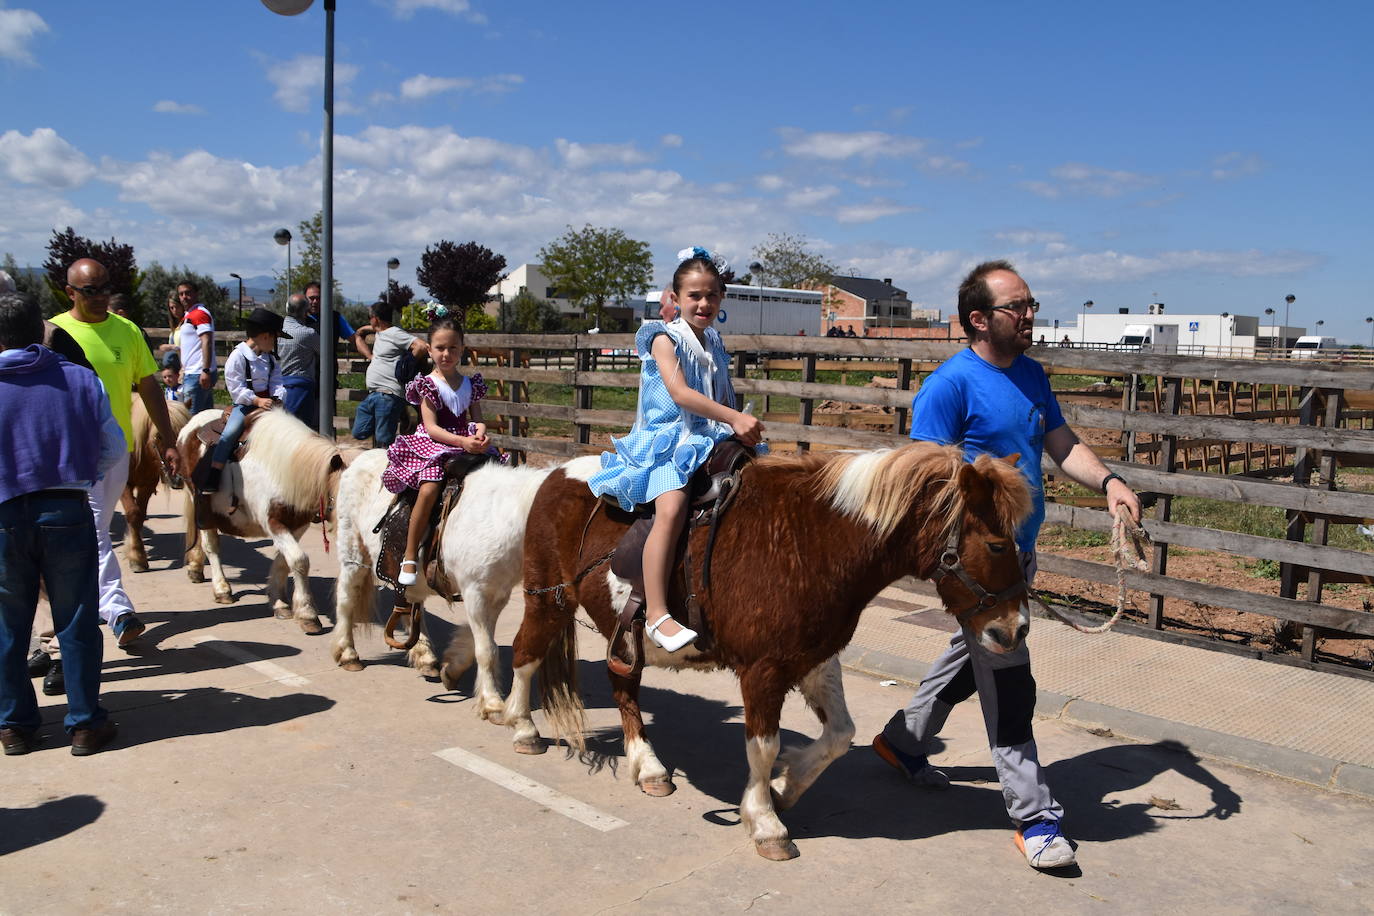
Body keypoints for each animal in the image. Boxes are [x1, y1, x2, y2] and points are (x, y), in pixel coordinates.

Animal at [120, 395, 189, 568]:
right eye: (159, 436)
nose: (178, 477)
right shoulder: (123, 486)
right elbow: (133, 513)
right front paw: (136, 555)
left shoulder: (147, 485)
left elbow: (140, 516)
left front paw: (135, 551)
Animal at [177, 411, 343, 634]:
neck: (286, 469)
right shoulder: (273, 522)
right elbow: (299, 560)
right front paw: (308, 615)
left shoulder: (297, 525)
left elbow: (284, 560)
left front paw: (280, 602)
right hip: (200, 505)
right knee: (210, 545)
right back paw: (222, 589)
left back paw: (195, 569)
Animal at [331, 450, 552, 714]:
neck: (498, 515)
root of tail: (361, 458)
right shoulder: (476, 591)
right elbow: (486, 649)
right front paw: (491, 703)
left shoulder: (496, 593)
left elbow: (479, 643)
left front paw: (452, 670)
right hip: (353, 552)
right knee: (346, 598)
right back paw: (348, 654)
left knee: (409, 603)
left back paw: (426, 657)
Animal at [505, 444, 1033, 862]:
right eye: (996, 544)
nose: (1015, 630)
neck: (811, 543)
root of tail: (555, 473)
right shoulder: (764, 669)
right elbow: (763, 745)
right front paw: (765, 821)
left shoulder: (816, 659)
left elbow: (840, 734)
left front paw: (785, 787)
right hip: (547, 598)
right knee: (525, 655)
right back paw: (519, 725)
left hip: (623, 636)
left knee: (623, 687)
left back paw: (649, 766)